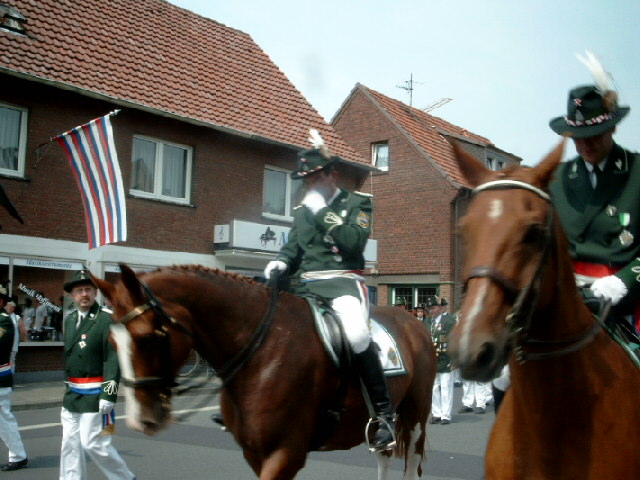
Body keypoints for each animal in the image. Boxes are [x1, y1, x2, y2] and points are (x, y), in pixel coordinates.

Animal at [93, 264, 436, 480]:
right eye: (111, 341)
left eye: (147, 337)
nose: (142, 419)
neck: (262, 350)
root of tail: (412, 319)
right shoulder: (254, 452)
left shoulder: (285, 453)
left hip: (415, 417)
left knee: (411, 464)